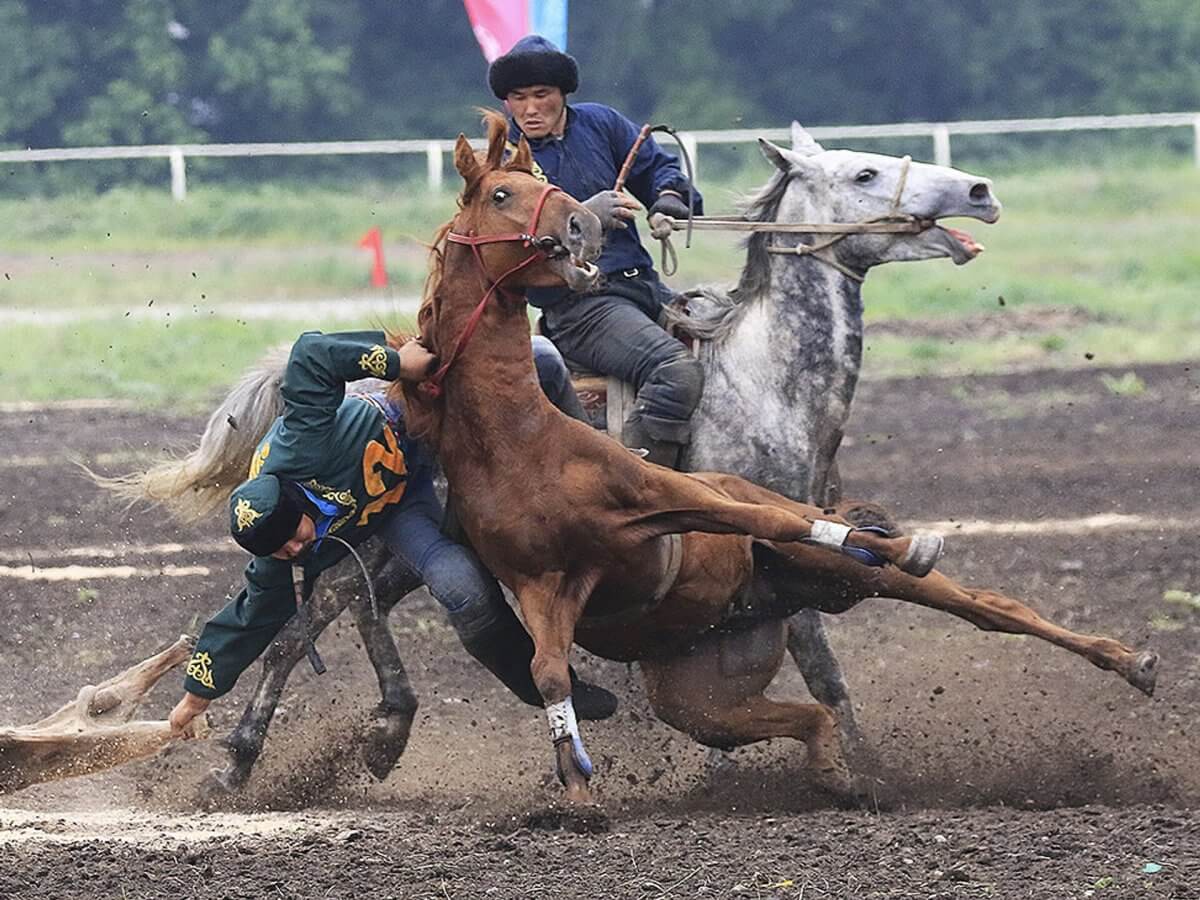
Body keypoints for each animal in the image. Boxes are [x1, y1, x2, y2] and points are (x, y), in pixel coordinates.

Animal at [398, 112, 1156, 801]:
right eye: (864, 174)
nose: (979, 190)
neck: (763, 378)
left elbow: (825, 661)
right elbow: (821, 671)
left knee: (977, 603)